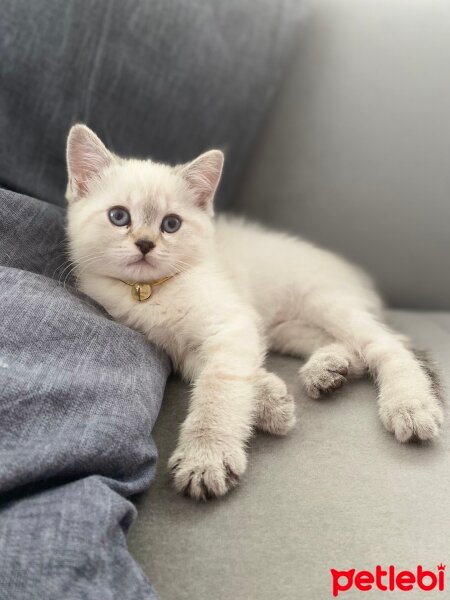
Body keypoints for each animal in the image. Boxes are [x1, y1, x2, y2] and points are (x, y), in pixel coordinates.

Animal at [66, 124, 442, 500]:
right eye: (119, 217)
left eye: (171, 224)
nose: (145, 244)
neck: (149, 291)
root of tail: (356, 275)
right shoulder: (182, 349)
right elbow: (219, 374)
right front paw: (270, 402)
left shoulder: (230, 323)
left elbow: (219, 386)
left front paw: (206, 457)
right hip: (288, 329)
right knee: (356, 351)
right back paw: (328, 370)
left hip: (327, 302)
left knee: (388, 345)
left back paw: (410, 406)